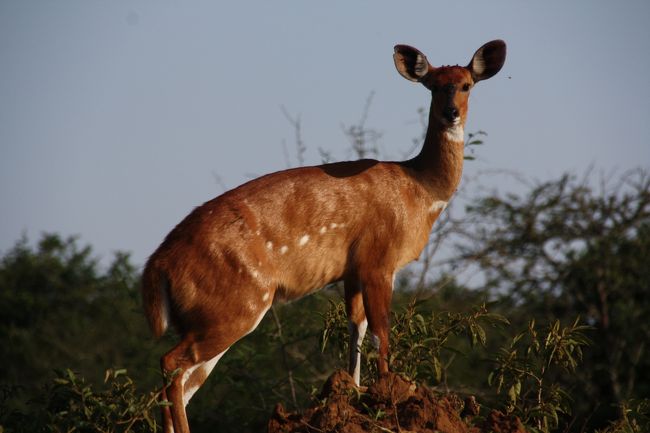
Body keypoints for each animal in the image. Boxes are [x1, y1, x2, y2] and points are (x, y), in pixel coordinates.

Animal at [142, 40, 506, 432]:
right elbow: (382, 331)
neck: (420, 191)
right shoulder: (379, 260)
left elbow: (356, 329)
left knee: (185, 382)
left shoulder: (352, 270)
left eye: (466, 84)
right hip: (236, 307)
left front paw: (355, 394)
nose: (451, 113)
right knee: (171, 365)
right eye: (435, 85)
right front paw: (389, 395)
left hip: (210, 317)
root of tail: (157, 266)